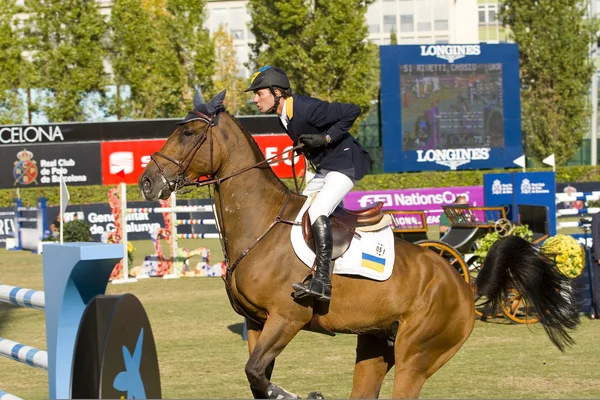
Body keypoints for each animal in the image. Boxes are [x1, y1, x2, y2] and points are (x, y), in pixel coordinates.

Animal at [138, 91, 580, 400]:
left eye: (189, 133)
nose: (146, 182)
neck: (260, 224)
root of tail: (463, 284)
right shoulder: (257, 323)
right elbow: (257, 377)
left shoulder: (287, 318)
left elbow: (257, 374)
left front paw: (305, 394)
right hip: (375, 345)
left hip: (416, 356)